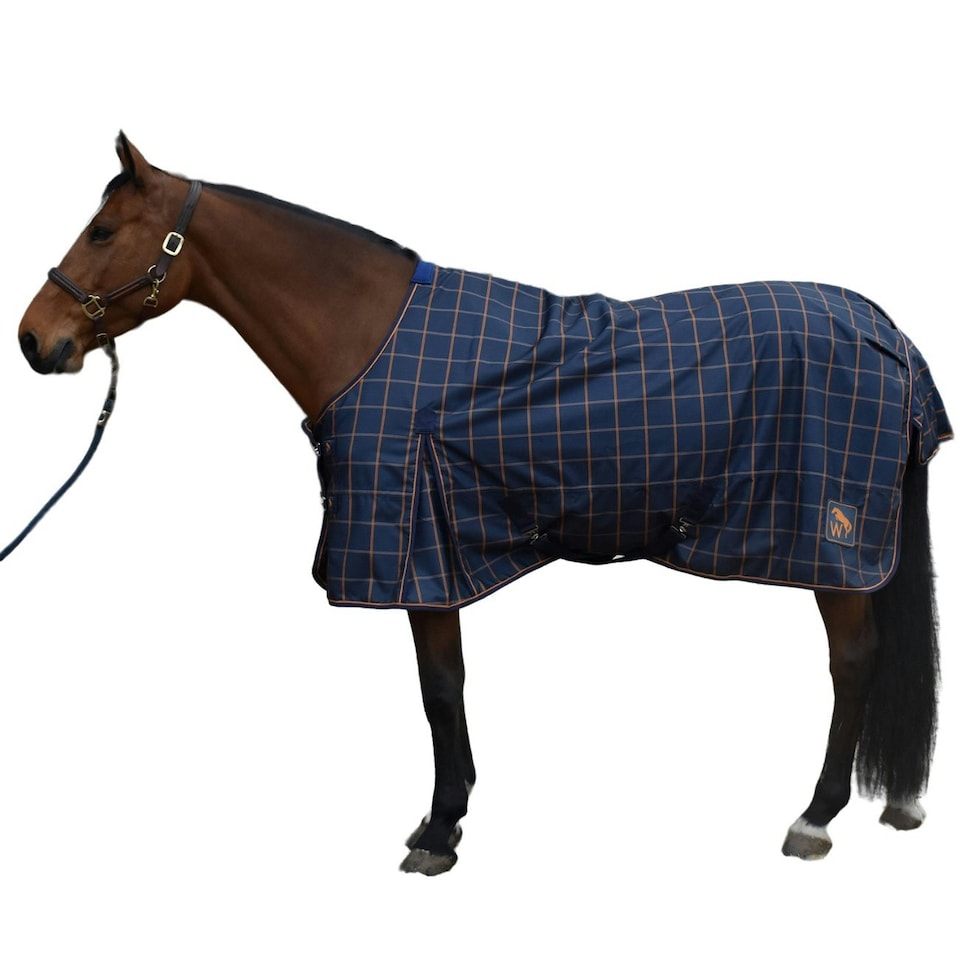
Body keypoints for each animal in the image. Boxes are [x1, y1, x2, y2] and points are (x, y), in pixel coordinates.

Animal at [15, 133, 951, 876]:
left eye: (103, 232)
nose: (34, 340)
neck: (370, 339)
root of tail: (887, 334)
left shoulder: (418, 556)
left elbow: (440, 690)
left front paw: (438, 831)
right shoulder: (438, 554)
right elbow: (449, 688)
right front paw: (448, 820)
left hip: (833, 546)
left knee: (852, 664)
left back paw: (815, 818)